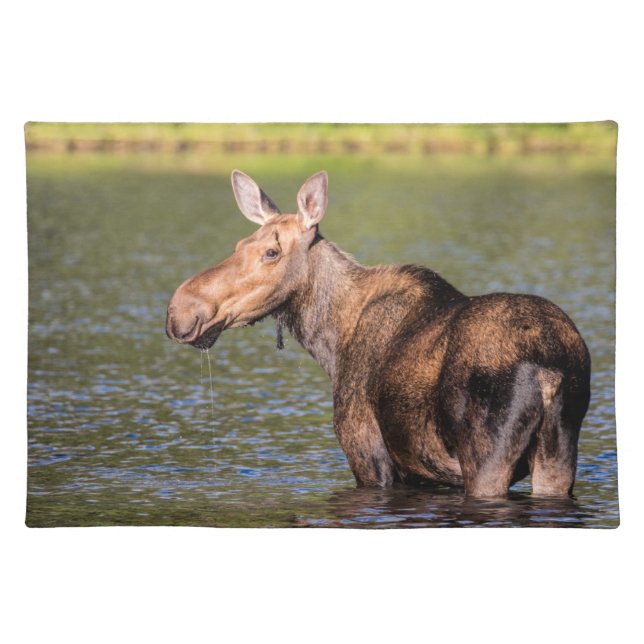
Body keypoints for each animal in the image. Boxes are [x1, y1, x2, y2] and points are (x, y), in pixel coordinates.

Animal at [166, 170, 591, 498]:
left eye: (271, 252)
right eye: (239, 244)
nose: (179, 309)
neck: (331, 342)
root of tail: (550, 371)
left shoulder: (368, 455)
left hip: (486, 458)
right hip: (558, 456)